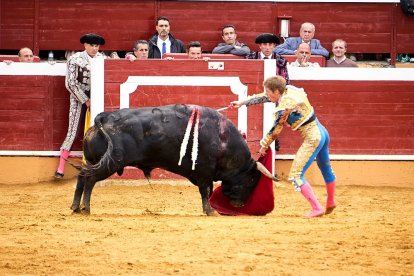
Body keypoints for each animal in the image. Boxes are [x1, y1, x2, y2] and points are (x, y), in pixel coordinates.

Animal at [71, 104, 274, 215]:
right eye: (251, 179)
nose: (240, 205)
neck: (223, 139)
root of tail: (104, 118)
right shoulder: (204, 172)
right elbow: (205, 191)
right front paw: (210, 211)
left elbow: (207, 191)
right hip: (110, 163)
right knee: (90, 179)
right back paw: (86, 208)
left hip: (92, 161)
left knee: (82, 176)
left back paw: (75, 207)